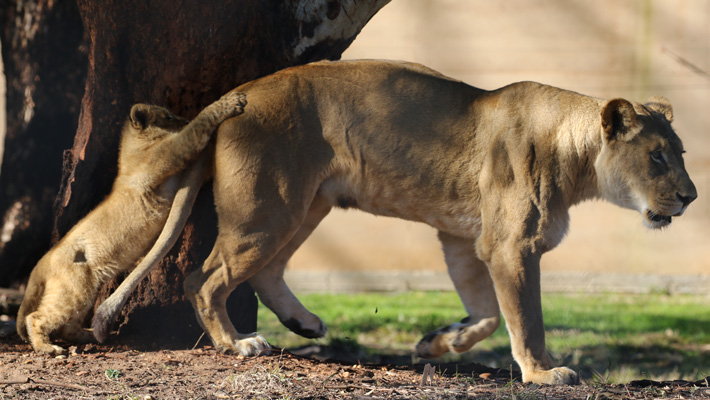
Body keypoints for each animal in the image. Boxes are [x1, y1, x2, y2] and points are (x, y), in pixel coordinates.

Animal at [16, 91, 247, 355]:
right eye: (168, 116)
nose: (183, 119)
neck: (132, 149)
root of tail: (42, 263)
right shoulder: (167, 155)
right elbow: (195, 130)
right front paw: (231, 101)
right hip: (70, 290)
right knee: (36, 317)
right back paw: (48, 348)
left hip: (81, 291)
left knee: (67, 325)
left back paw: (88, 336)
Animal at [93, 60, 696, 384]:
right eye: (657, 157)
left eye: (682, 153)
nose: (690, 197)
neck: (577, 159)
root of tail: (231, 100)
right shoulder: (511, 246)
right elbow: (526, 318)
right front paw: (543, 372)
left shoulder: (465, 239)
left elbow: (486, 314)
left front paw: (437, 343)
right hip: (267, 207)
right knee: (205, 276)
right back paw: (236, 344)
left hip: (305, 203)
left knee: (266, 271)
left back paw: (303, 324)